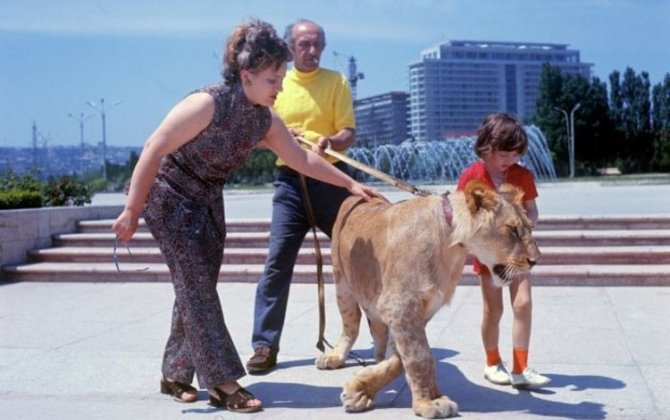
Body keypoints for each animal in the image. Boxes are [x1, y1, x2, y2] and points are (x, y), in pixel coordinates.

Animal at [318, 179, 544, 418]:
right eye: (512, 229)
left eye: (530, 228)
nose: (535, 260)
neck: (452, 246)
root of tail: (355, 197)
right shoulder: (399, 306)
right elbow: (419, 357)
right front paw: (428, 403)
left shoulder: (418, 311)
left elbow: (404, 359)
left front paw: (362, 388)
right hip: (342, 285)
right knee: (350, 326)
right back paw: (334, 356)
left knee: (378, 331)